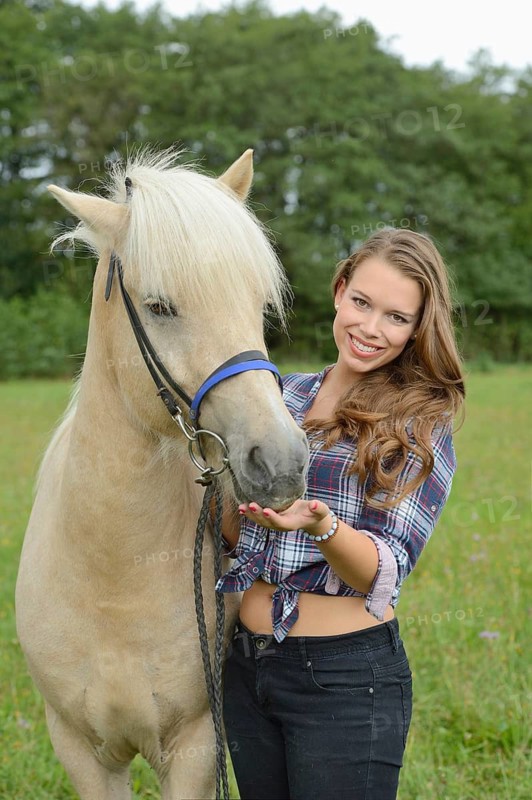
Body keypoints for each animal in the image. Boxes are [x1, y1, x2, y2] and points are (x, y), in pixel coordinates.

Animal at [15, 147, 308, 799]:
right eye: (159, 307)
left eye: (258, 305)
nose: (280, 463)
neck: (113, 579)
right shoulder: (82, 752)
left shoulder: (196, 746)